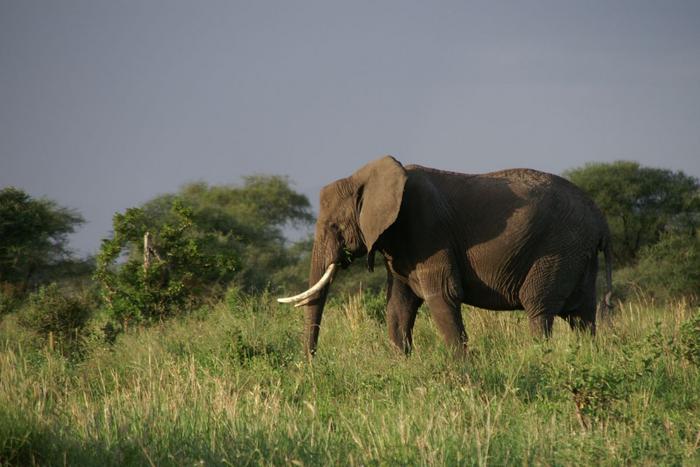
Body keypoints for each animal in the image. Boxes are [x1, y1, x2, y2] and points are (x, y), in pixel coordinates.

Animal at [279, 156, 613, 357]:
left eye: (334, 227)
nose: (310, 364)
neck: (368, 176)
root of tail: (600, 217)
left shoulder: (427, 228)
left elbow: (443, 294)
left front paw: (462, 369)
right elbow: (398, 305)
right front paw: (402, 365)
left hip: (557, 249)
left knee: (539, 308)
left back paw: (539, 357)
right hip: (578, 254)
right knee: (582, 315)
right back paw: (587, 356)